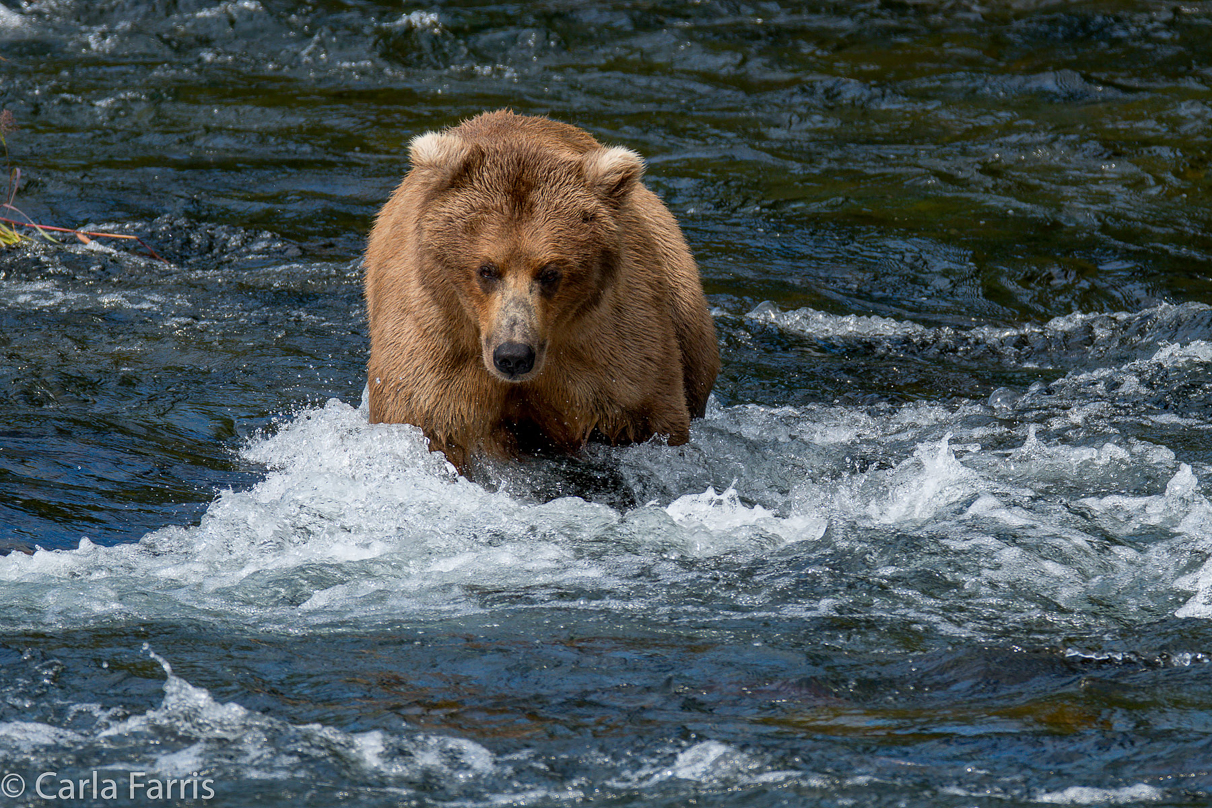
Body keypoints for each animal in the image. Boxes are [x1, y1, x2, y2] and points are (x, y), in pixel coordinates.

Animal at [363, 110, 712, 470]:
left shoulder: (607, 344)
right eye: (486, 270)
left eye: (549, 273)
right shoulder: (436, 341)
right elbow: (427, 420)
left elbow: (647, 415)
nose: (513, 356)